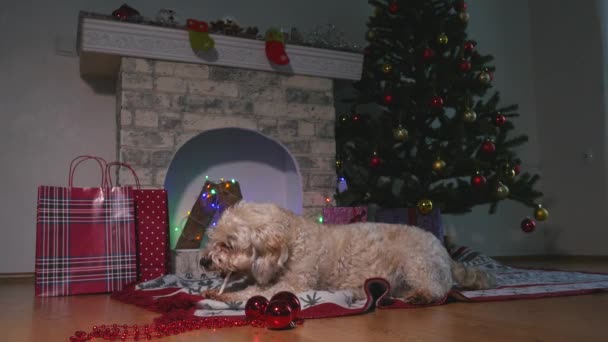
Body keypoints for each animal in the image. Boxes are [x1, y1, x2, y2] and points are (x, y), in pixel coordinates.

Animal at [200, 202, 494, 304]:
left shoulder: (295, 284)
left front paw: (229, 296)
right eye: (214, 240)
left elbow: (255, 293)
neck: (293, 240)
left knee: (439, 289)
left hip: (416, 264)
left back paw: (420, 296)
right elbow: (245, 284)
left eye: (228, 244)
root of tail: (445, 252)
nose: (203, 261)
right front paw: (215, 290)